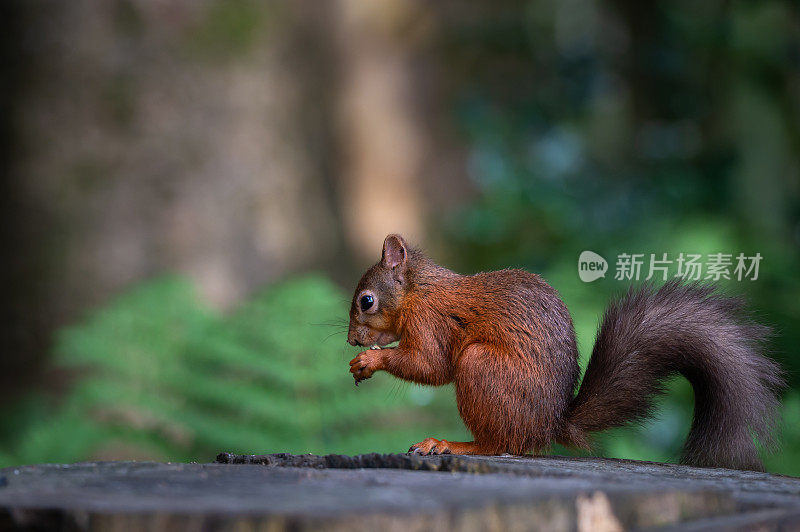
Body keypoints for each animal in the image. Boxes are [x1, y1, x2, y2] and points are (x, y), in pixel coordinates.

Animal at [346, 233, 784, 470]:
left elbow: (431, 366)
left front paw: (370, 359)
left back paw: (451, 444)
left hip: (481, 368)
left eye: (367, 301)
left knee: (499, 444)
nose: (351, 340)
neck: (416, 290)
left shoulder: (430, 321)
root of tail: (550, 424)